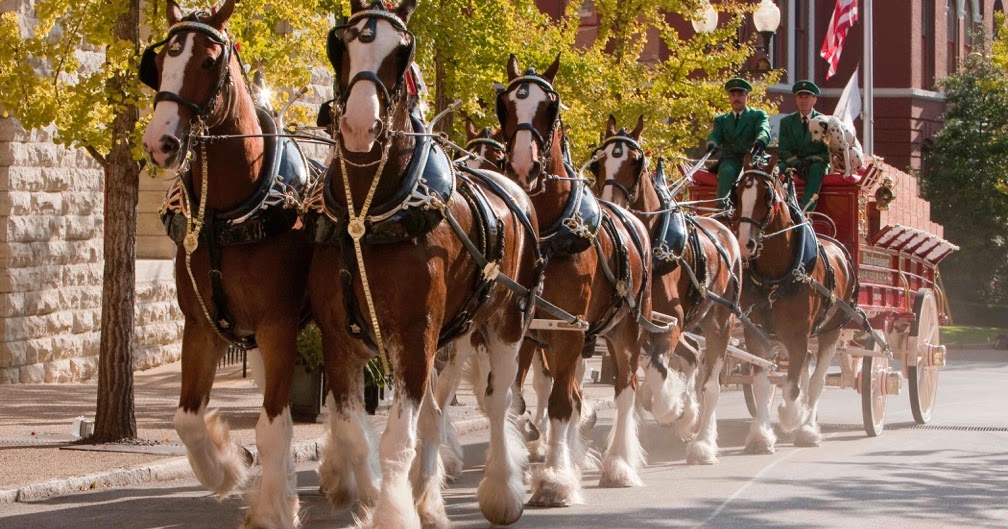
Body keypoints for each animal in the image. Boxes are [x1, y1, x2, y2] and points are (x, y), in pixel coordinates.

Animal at [139, 0, 312, 527]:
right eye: (160, 62)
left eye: (209, 61)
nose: (160, 143)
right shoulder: (202, 325)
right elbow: (186, 419)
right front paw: (227, 470)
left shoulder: (278, 325)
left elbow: (273, 425)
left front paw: (274, 508)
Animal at [304, 1, 540, 527]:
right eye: (340, 44)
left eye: (402, 50)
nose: (359, 124)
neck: (370, 214)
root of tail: (511, 187)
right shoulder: (339, 338)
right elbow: (354, 432)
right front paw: (373, 495)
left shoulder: (415, 335)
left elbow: (397, 439)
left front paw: (392, 510)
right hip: (453, 336)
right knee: (436, 410)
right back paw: (429, 499)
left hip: (505, 322)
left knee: (497, 405)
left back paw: (502, 492)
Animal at [494, 53, 662, 504]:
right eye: (506, 105)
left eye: (549, 107)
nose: (523, 166)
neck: (548, 232)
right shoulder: (525, 328)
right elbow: (517, 398)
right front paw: (532, 445)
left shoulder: (569, 329)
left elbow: (559, 404)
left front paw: (554, 479)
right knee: (571, 391)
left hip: (626, 330)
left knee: (625, 388)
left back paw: (619, 463)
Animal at [590, 114, 743, 465]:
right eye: (598, 163)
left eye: (636, 161)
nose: (613, 208)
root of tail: (725, 230)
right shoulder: (631, 326)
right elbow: (641, 378)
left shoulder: (671, 324)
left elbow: (657, 371)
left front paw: (673, 410)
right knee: (692, 353)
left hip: (721, 321)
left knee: (711, 383)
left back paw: (703, 443)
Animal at [730, 164, 858, 452]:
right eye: (736, 194)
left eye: (767, 196)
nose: (744, 243)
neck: (775, 276)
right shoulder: (755, 335)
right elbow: (762, 384)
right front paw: (761, 436)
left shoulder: (798, 336)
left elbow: (792, 388)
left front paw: (792, 418)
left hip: (830, 332)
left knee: (816, 381)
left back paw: (808, 429)